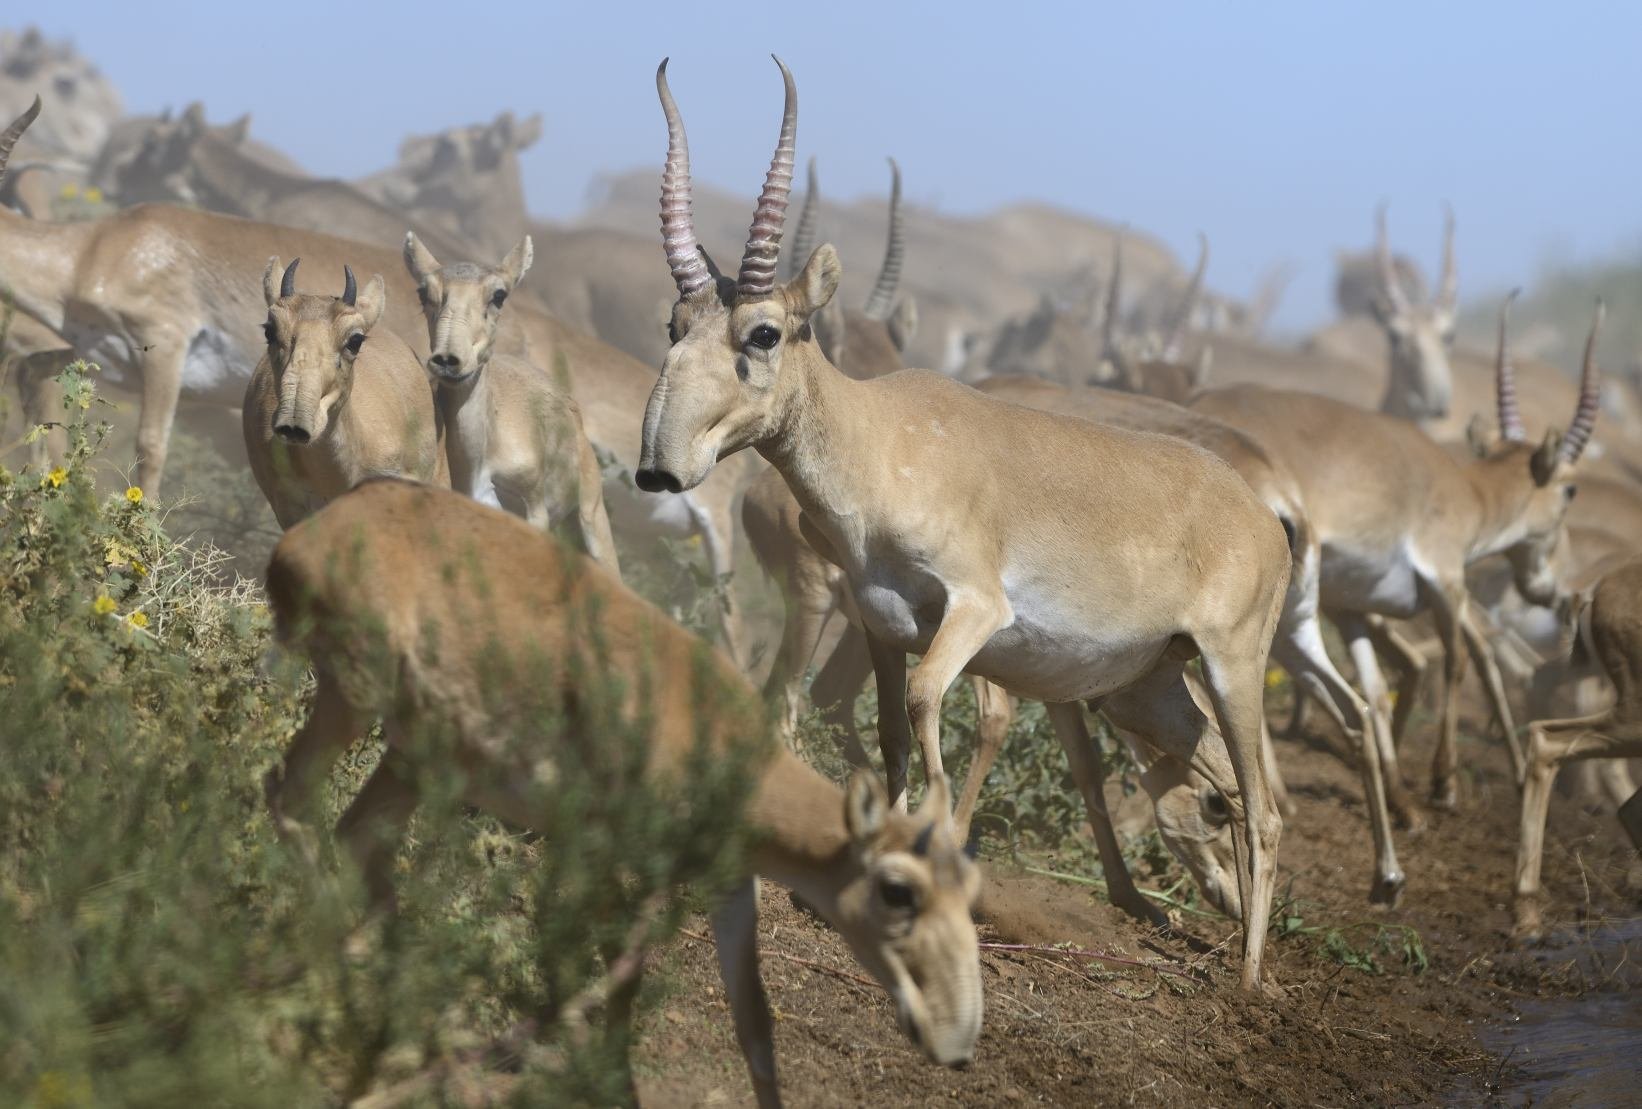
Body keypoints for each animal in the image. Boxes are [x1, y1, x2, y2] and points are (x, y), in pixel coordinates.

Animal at [262, 483, 978, 1104]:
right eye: (897, 889)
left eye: (968, 890)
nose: (957, 1040)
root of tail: (311, 533)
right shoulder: (608, 856)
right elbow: (616, 975)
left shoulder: (729, 886)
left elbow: (755, 1021)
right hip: (353, 701)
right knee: (288, 793)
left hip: (416, 758)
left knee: (357, 838)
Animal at [640, 56, 1293, 985]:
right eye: (675, 323)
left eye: (763, 331)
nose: (660, 464)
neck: (882, 438)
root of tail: (1265, 518)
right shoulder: (880, 626)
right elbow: (888, 732)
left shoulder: (975, 614)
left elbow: (928, 708)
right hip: (1148, 686)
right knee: (1216, 777)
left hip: (1232, 664)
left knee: (1266, 805)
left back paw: (1248, 977)